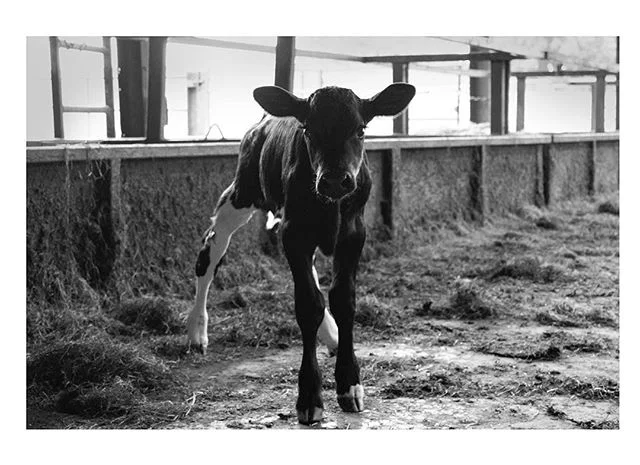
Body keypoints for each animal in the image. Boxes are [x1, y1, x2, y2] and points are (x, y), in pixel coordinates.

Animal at [186, 83, 415, 424]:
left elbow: (343, 299)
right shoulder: (293, 233)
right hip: (242, 192)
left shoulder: (354, 233)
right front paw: (309, 397)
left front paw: (349, 382)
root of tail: (263, 122)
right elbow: (308, 305)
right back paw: (196, 331)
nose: (334, 180)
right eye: (308, 129)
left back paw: (332, 335)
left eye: (360, 130)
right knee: (210, 250)